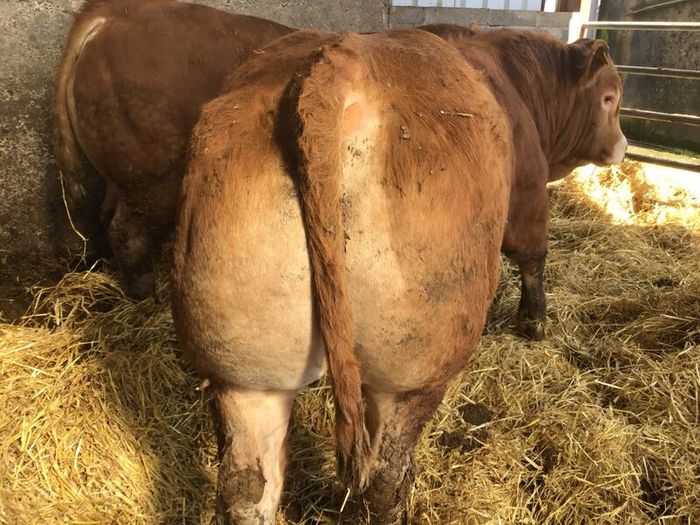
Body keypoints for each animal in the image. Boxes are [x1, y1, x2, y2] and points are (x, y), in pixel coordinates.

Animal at [53, 0, 294, 299]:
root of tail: (112, 12)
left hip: (124, 170)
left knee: (109, 216)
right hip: (156, 177)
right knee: (128, 234)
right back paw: (147, 300)